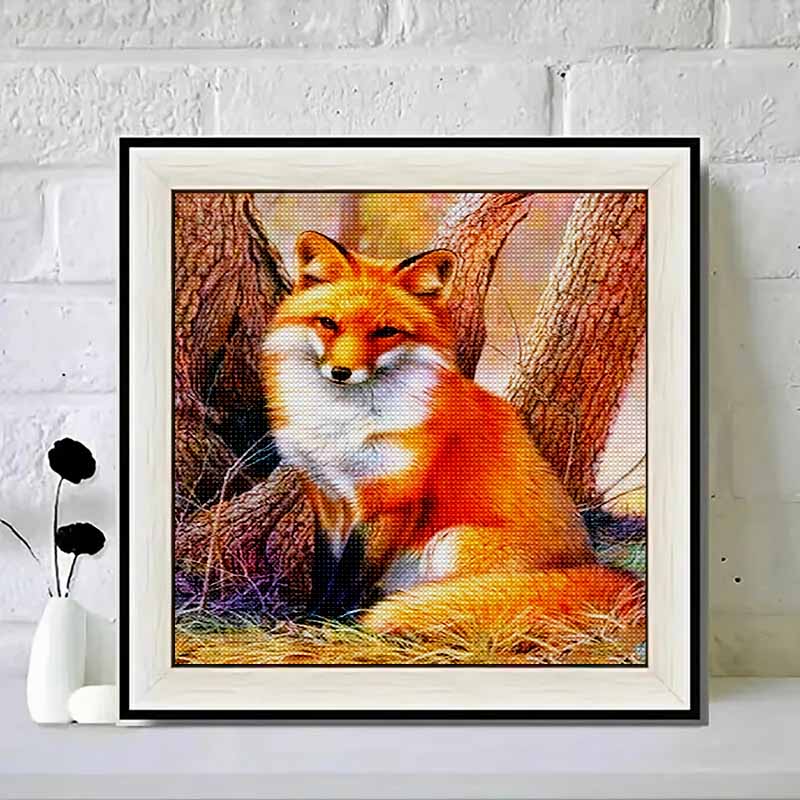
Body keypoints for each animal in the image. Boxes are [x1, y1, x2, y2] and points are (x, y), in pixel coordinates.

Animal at [261, 230, 641, 637]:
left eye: (386, 331)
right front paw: (310, 616)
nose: (341, 372)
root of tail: (590, 564)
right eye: (328, 323)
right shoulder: (327, 497)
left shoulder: (392, 500)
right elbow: (325, 570)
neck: (340, 422)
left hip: (451, 542)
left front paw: (328, 623)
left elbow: (350, 574)